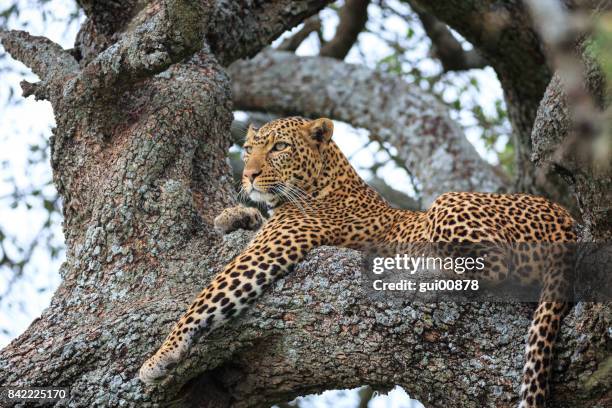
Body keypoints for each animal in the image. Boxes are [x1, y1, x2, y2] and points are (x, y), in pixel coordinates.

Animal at [139, 116, 572, 406]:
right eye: (249, 149)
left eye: (279, 148)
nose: (248, 175)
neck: (325, 179)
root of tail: (569, 223)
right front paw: (232, 216)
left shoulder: (270, 250)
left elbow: (204, 299)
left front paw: (159, 358)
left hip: (449, 203)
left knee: (493, 266)